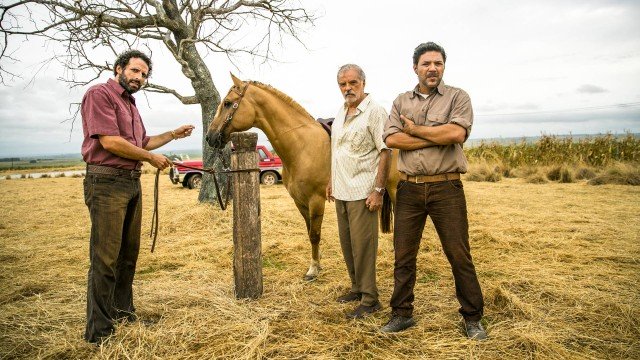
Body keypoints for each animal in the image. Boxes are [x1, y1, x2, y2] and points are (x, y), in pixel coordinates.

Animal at [205, 74, 398, 282]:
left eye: (227, 103)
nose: (210, 137)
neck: (301, 146)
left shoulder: (316, 201)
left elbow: (315, 234)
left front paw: (313, 270)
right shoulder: (300, 201)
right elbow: (309, 231)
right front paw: (317, 263)